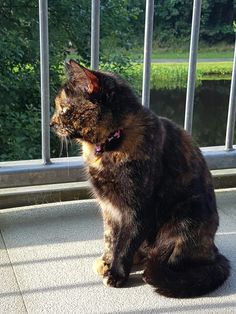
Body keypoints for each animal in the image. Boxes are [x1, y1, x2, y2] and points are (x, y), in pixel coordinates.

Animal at [50, 60, 230, 298]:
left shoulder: (138, 208)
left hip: (186, 217)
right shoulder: (109, 207)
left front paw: (116, 273)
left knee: (170, 259)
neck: (112, 142)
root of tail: (213, 250)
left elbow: (125, 243)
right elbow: (110, 237)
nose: (50, 124)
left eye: (63, 109)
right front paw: (107, 261)